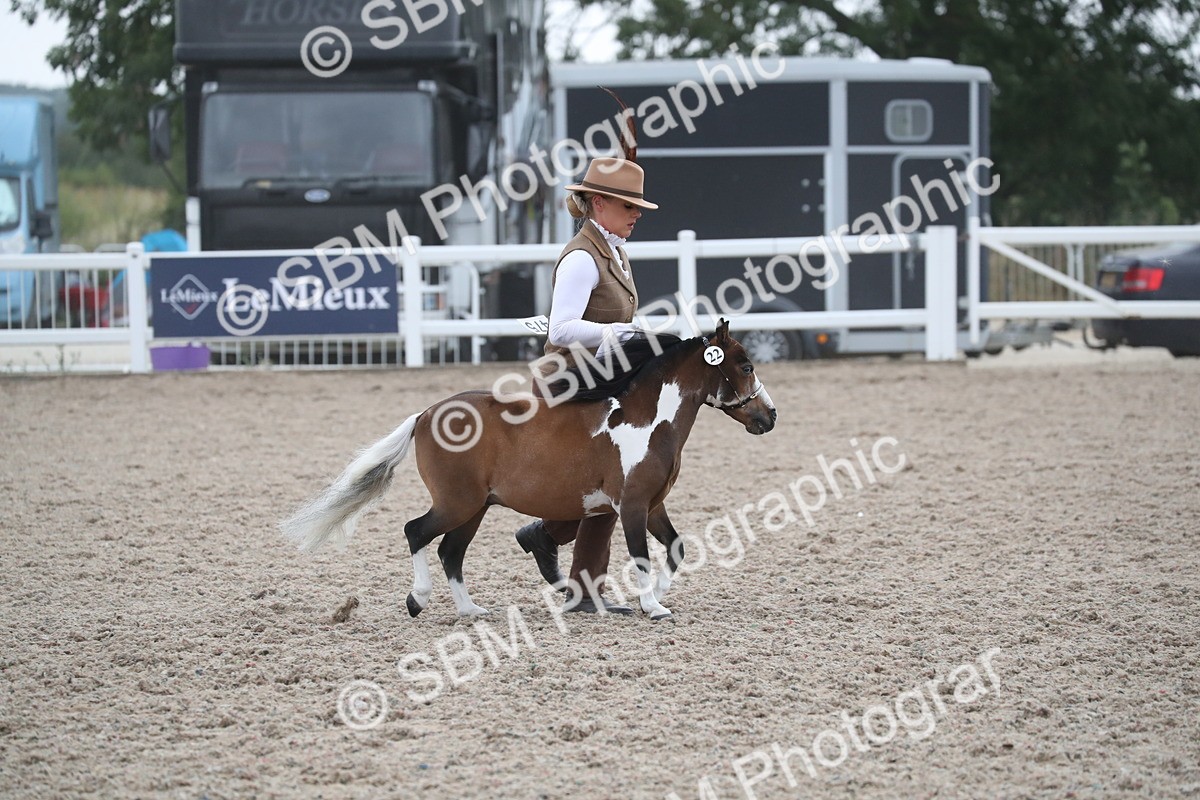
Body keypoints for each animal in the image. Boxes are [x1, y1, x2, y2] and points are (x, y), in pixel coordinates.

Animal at [280, 319, 777, 620]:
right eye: (746, 365)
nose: (769, 417)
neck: (647, 420)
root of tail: (425, 414)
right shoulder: (632, 505)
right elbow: (641, 555)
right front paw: (652, 605)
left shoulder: (654, 505)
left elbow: (676, 548)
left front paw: (658, 597)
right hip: (457, 502)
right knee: (416, 532)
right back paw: (418, 600)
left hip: (476, 507)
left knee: (451, 552)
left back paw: (471, 611)